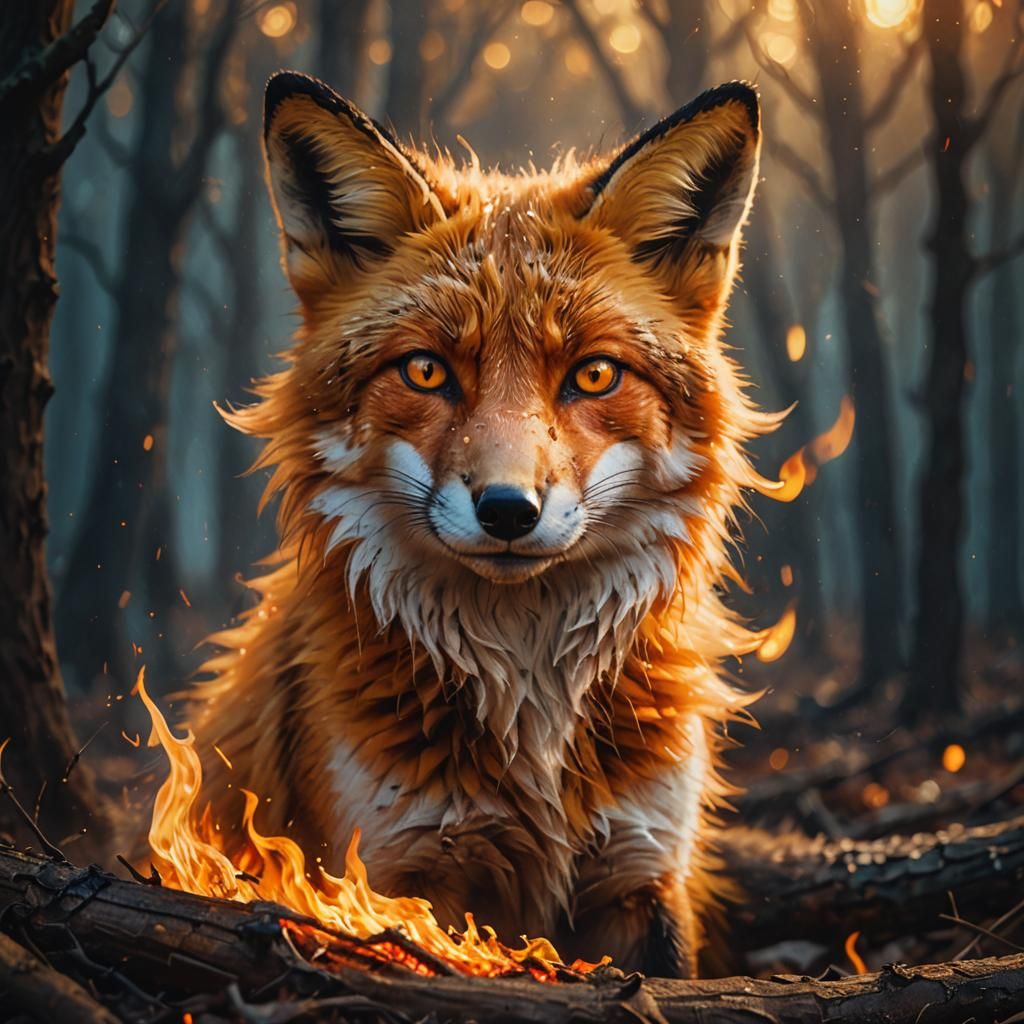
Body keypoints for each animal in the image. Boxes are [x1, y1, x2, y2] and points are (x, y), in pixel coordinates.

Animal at [187, 70, 776, 978]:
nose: (507, 509)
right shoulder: (395, 877)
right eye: (427, 371)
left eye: (593, 374)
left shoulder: (640, 871)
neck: (530, 706)